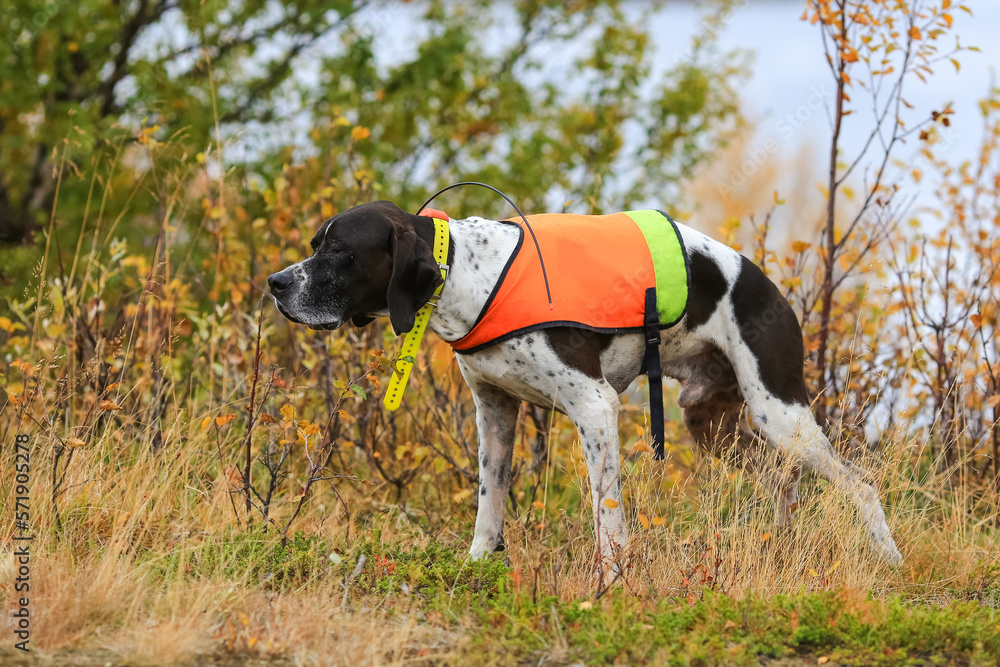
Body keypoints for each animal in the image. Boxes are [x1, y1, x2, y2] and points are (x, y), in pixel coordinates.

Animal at [268, 201, 908, 572]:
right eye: (315, 244)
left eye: (339, 251)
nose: (275, 283)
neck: (472, 275)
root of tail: (763, 278)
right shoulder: (494, 413)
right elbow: (488, 504)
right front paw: (477, 567)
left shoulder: (595, 406)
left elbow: (609, 515)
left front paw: (610, 580)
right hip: (714, 423)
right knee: (781, 479)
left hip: (779, 412)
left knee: (860, 483)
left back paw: (890, 559)